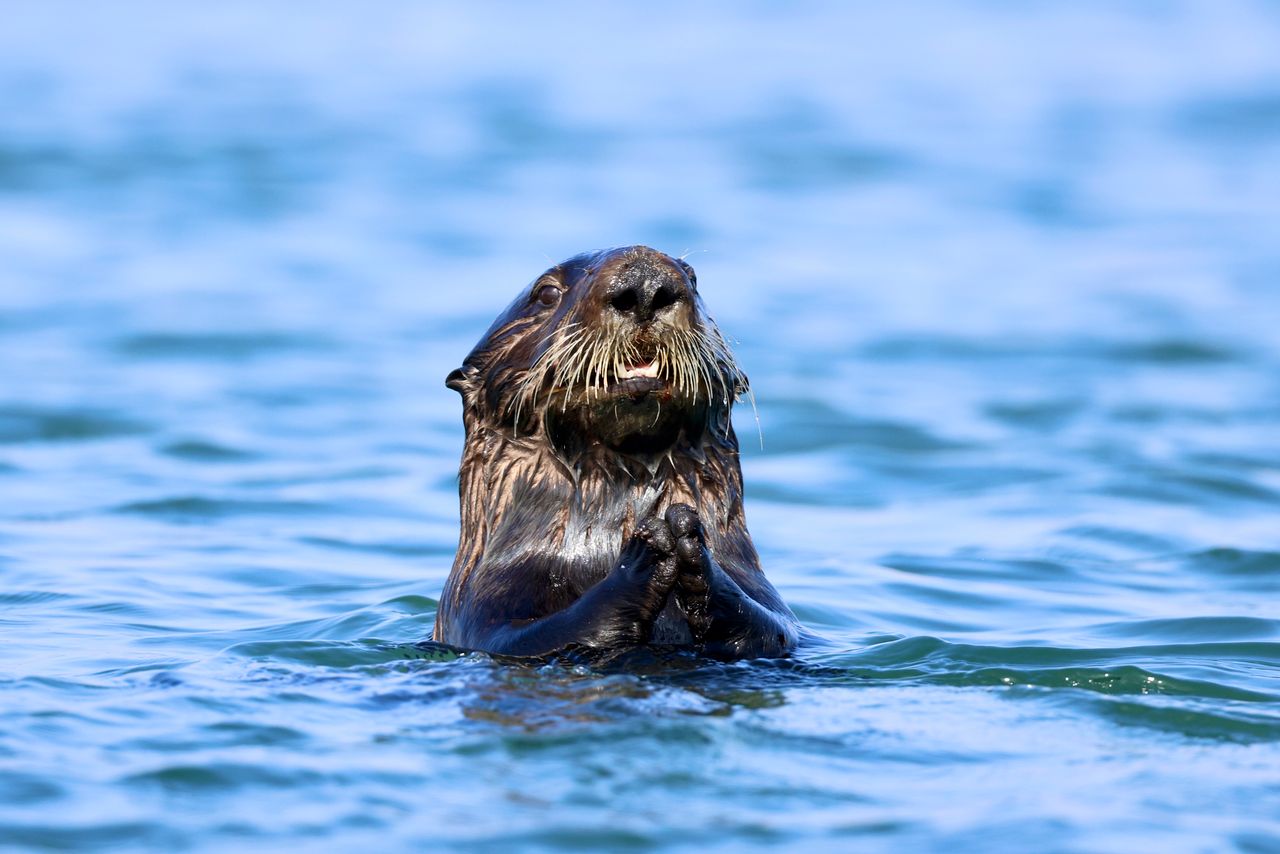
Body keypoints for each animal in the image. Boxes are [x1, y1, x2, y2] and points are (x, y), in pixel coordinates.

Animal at [432, 246, 797, 660]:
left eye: (693, 277)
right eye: (546, 294)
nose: (644, 282)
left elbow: (775, 630)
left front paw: (691, 541)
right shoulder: (478, 610)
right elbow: (539, 637)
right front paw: (648, 549)